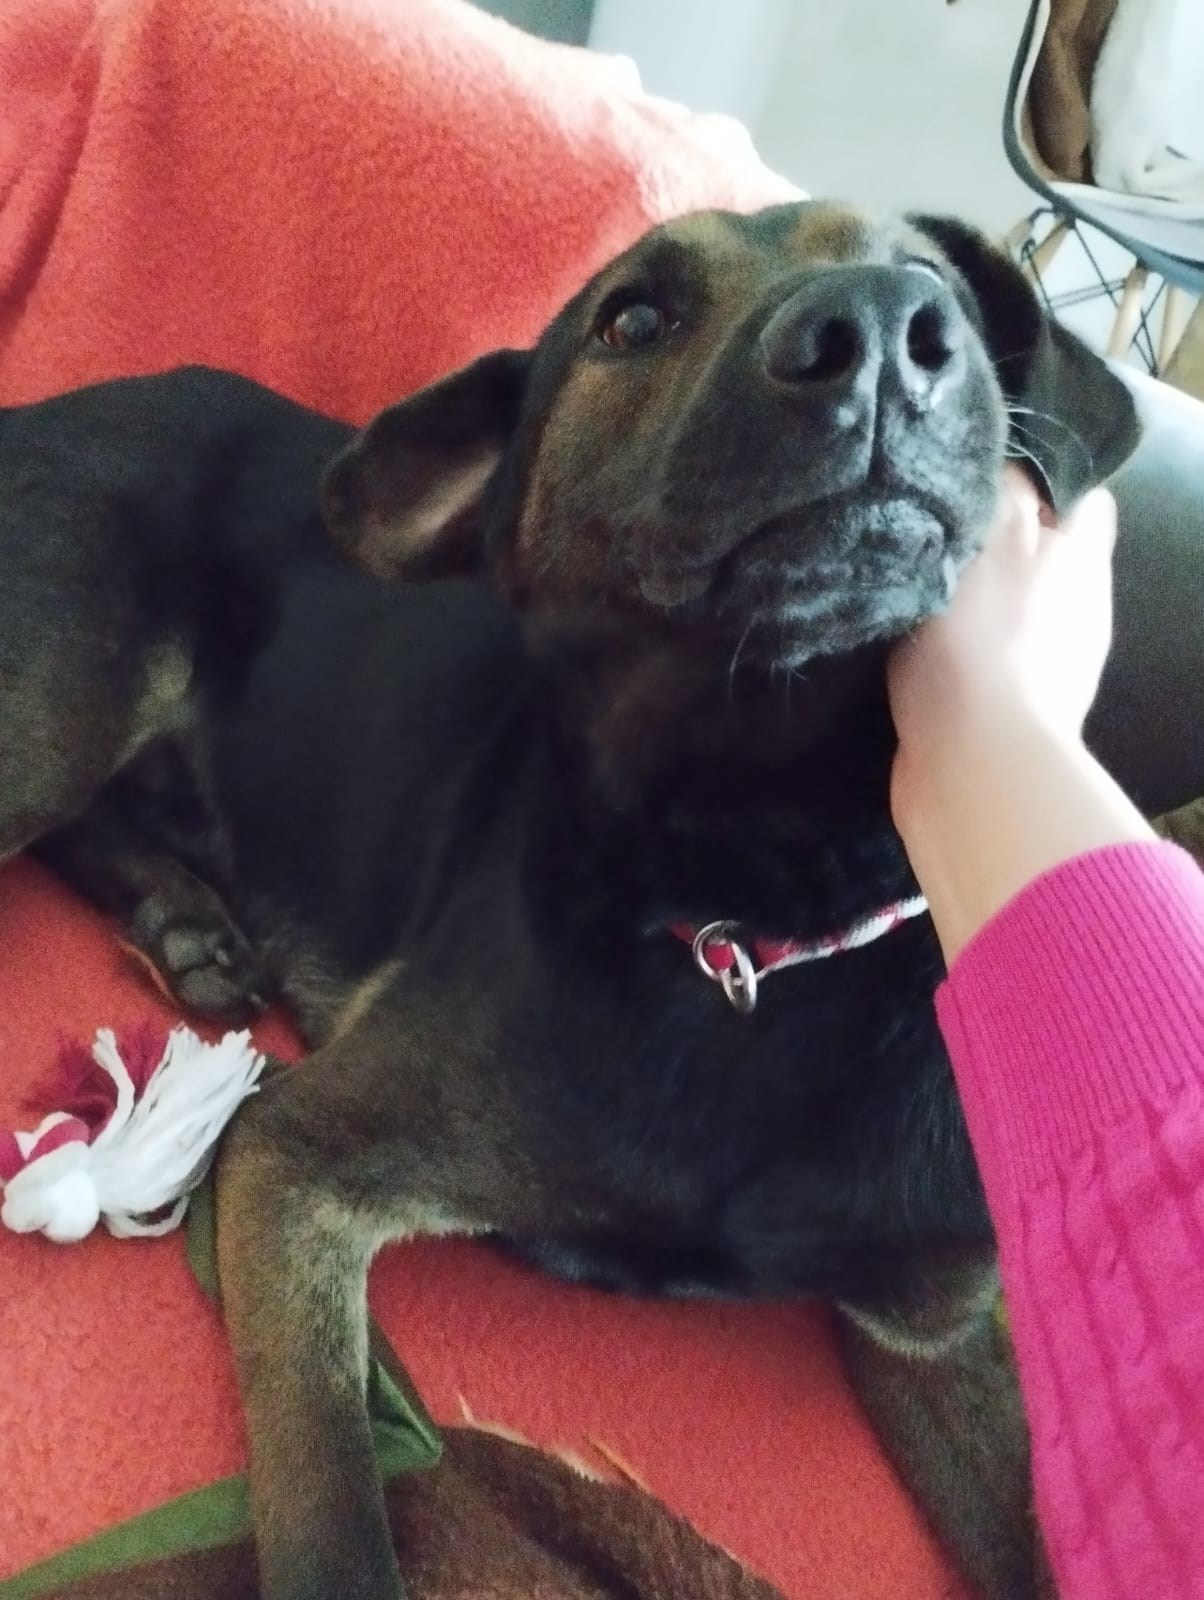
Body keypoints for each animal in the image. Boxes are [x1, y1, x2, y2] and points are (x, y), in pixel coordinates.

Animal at [0, 201, 1139, 1599]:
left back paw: (185, 921)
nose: (875, 332)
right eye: (632, 320)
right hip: (56, 706)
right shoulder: (295, 1161)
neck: (755, 914)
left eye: (937, 284)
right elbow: (329, 1500)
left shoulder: (933, 1330)